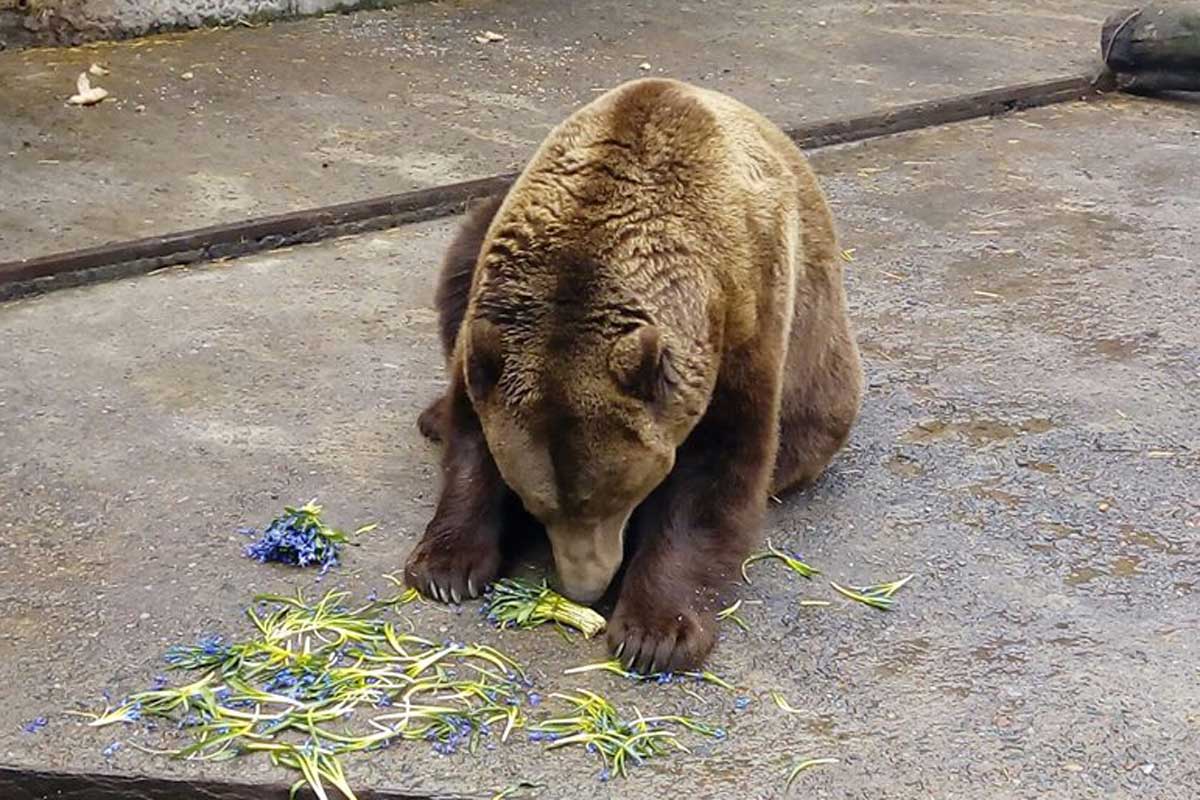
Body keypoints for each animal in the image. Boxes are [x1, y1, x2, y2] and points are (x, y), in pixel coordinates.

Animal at [405, 77, 864, 671]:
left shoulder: (743, 320)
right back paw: (432, 417)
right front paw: (446, 567)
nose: (584, 586)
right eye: (539, 503)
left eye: (613, 498)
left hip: (821, 378)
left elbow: (714, 473)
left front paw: (656, 633)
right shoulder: (493, 319)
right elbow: (472, 433)